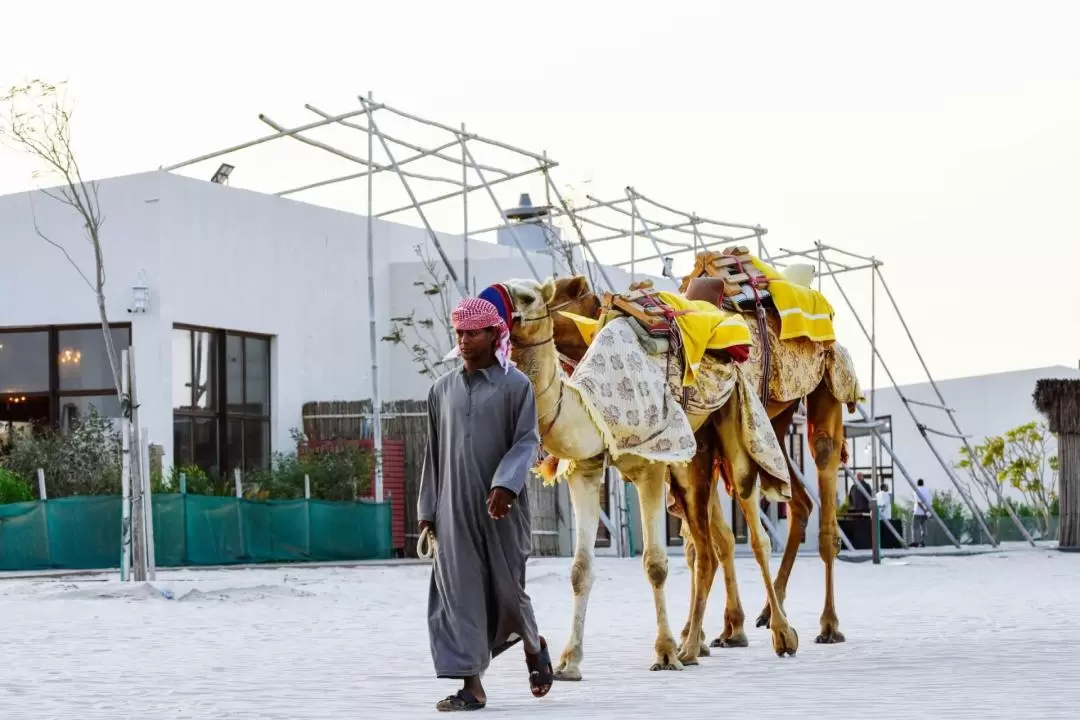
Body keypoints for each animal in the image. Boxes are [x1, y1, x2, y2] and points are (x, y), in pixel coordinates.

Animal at [496, 274, 794, 682]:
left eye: (526, 297)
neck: (591, 404)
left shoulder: (650, 467)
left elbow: (655, 564)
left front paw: (664, 653)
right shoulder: (585, 469)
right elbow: (579, 569)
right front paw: (569, 662)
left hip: (737, 423)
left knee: (756, 535)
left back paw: (780, 635)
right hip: (692, 456)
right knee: (707, 548)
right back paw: (693, 646)